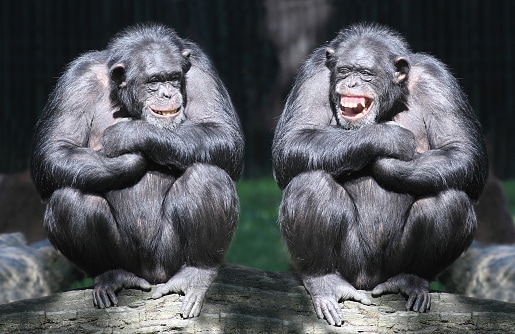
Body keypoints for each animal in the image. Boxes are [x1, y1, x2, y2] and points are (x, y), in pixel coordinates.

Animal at [31, 24, 245, 318]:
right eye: (153, 81)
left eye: (174, 78)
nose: (168, 94)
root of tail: (151, 274)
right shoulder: (76, 81)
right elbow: (55, 149)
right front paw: (129, 160)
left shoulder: (200, 68)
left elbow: (221, 130)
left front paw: (129, 134)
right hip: (128, 259)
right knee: (68, 197)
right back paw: (110, 275)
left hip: (168, 257)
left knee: (208, 176)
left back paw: (196, 273)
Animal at [272, 23, 490, 326]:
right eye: (343, 70)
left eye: (365, 73)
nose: (351, 83)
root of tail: (370, 280)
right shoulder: (313, 74)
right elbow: (294, 139)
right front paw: (388, 138)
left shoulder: (439, 82)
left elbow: (463, 151)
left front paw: (389, 164)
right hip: (352, 263)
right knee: (309, 183)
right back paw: (324, 280)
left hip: (392, 264)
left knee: (451, 199)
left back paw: (412, 279)